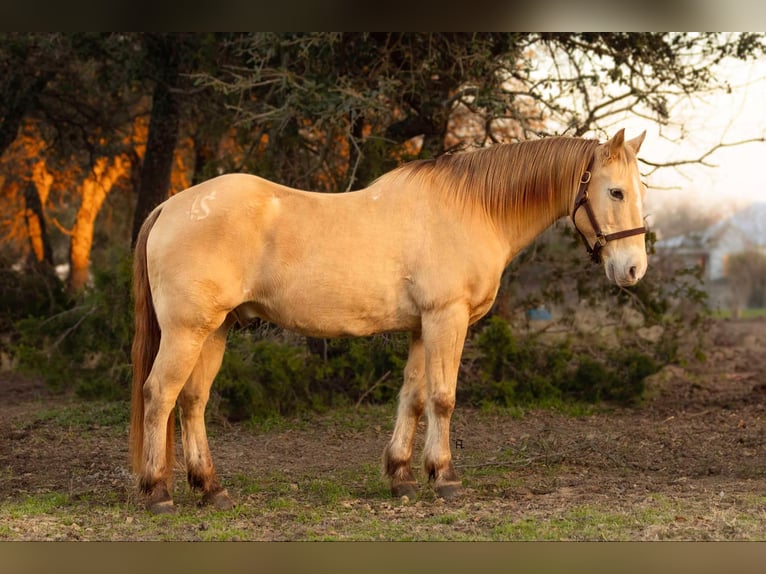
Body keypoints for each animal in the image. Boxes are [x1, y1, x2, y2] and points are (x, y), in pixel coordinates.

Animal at [130, 129, 648, 512]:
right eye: (615, 191)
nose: (633, 270)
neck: (472, 208)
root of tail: (170, 206)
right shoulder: (446, 319)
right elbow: (442, 399)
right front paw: (445, 477)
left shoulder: (421, 327)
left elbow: (413, 399)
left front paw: (401, 476)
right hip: (187, 331)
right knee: (160, 396)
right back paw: (158, 492)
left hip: (214, 330)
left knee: (192, 402)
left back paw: (211, 488)